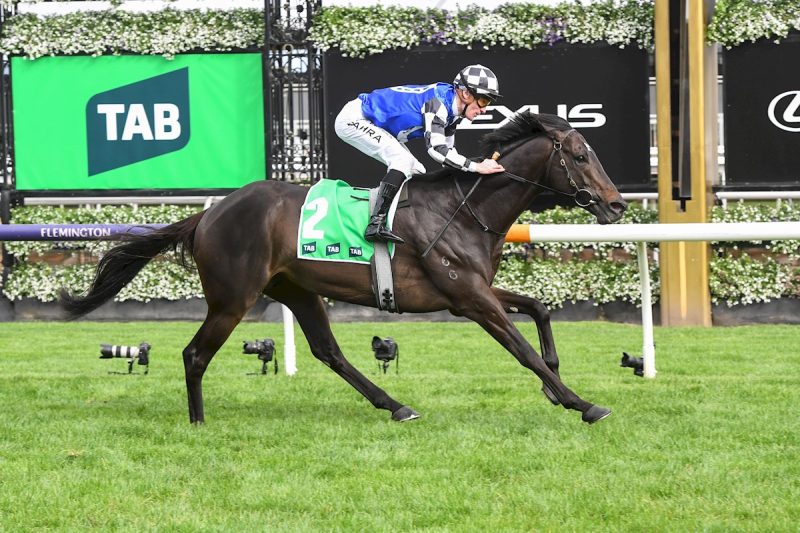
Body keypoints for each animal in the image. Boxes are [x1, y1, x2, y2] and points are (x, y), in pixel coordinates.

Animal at [61, 111, 627, 425]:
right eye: (580, 156)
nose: (617, 205)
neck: (466, 208)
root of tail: (211, 213)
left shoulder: (474, 290)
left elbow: (539, 310)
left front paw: (556, 385)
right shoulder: (468, 298)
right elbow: (521, 348)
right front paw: (581, 402)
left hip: (297, 289)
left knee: (329, 352)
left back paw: (396, 405)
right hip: (233, 297)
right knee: (195, 354)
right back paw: (198, 423)